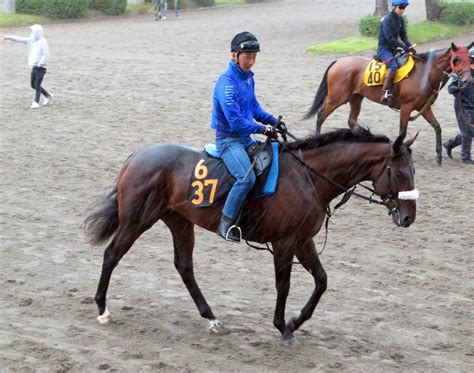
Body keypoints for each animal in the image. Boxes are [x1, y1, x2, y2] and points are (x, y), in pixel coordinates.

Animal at [85, 128, 418, 346]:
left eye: (413, 171)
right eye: (401, 173)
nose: (409, 217)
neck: (308, 176)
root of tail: (136, 157)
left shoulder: (303, 241)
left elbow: (322, 281)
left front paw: (295, 321)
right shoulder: (285, 243)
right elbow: (284, 286)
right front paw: (283, 327)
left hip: (179, 222)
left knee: (184, 267)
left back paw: (211, 318)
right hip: (137, 221)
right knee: (112, 255)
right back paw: (101, 309)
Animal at [306, 41, 472, 163]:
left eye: (470, 59)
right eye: (457, 59)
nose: (467, 81)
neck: (423, 74)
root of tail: (338, 61)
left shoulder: (423, 108)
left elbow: (437, 127)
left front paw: (438, 155)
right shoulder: (406, 107)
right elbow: (402, 132)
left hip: (356, 98)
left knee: (351, 121)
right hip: (337, 99)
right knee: (321, 116)